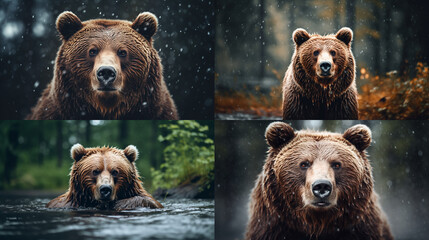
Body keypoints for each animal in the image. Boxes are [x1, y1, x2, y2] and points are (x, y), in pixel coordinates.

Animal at [246, 123, 392, 239]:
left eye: (336, 164)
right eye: (304, 164)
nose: (322, 186)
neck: (317, 223)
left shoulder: (362, 227)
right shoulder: (271, 226)